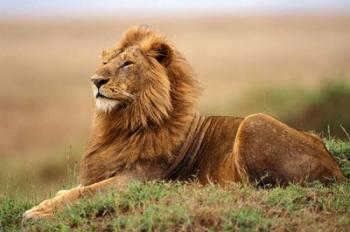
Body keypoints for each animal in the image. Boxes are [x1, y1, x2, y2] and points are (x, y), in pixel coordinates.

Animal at [23, 25, 346, 221]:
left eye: (127, 63)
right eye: (105, 63)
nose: (96, 81)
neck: (123, 122)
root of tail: (337, 170)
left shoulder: (137, 179)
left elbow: (83, 193)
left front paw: (35, 213)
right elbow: (70, 190)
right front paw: (44, 204)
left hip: (254, 122)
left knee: (252, 188)